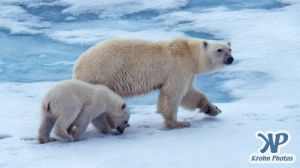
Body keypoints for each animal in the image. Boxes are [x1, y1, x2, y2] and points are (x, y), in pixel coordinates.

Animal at [73, 37, 234, 128]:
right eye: (219, 50)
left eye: (230, 49)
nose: (230, 59)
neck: (189, 52)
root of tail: (77, 66)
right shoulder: (178, 66)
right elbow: (172, 93)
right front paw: (179, 123)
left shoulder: (188, 72)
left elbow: (189, 93)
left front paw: (213, 109)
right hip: (103, 75)